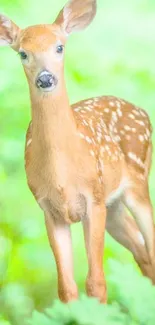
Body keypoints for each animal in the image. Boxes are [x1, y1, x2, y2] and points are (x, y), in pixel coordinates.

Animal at [0, 0, 155, 302]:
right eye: (23, 53)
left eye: (60, 47)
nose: (45, 78)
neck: (62, 175)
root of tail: (142, 111)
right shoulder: (49, 210)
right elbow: (66, 288)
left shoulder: (93, 200)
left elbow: (96, 282)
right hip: (114, 206)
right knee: (141, 251)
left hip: (138, 183)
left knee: (150, 246)